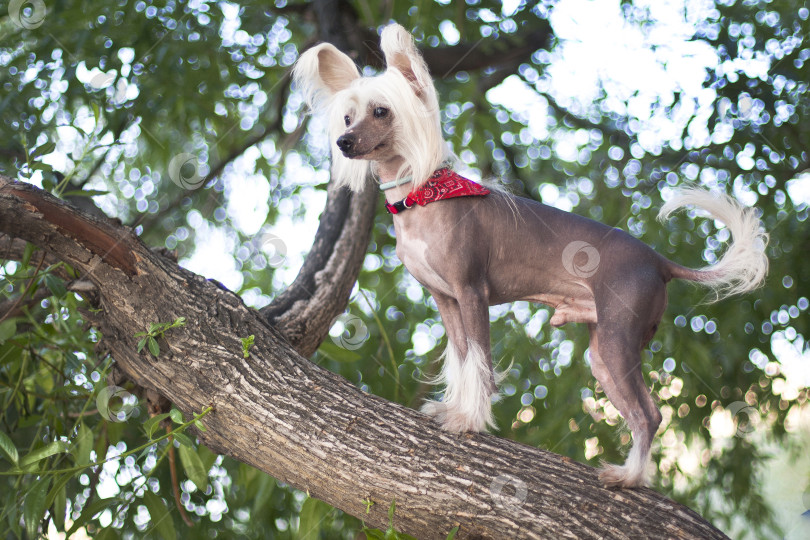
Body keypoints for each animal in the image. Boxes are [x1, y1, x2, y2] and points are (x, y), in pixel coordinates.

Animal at [290, 23, 764, 488]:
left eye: (381, 112)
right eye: (347, 116)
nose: (343, 141)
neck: (422, 197)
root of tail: (659, 261)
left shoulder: (472, 293)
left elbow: (481, 361)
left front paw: (470, 421)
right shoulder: (446, 300)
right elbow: (462, 360)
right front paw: (453, 408)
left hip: (618, 340)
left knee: (650, 415)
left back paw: (628, 477)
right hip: (603, 355)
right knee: (641, 412)